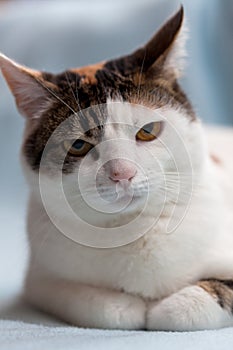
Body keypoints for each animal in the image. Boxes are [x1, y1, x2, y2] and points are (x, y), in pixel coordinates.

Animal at [0, 6, 233, 330]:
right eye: (78, 145)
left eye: (147, 131)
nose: (122, 173)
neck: (133, 232)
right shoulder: (41, 280)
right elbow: (94, 305)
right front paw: (127, 306)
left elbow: (187, 307)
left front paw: (170, 307)